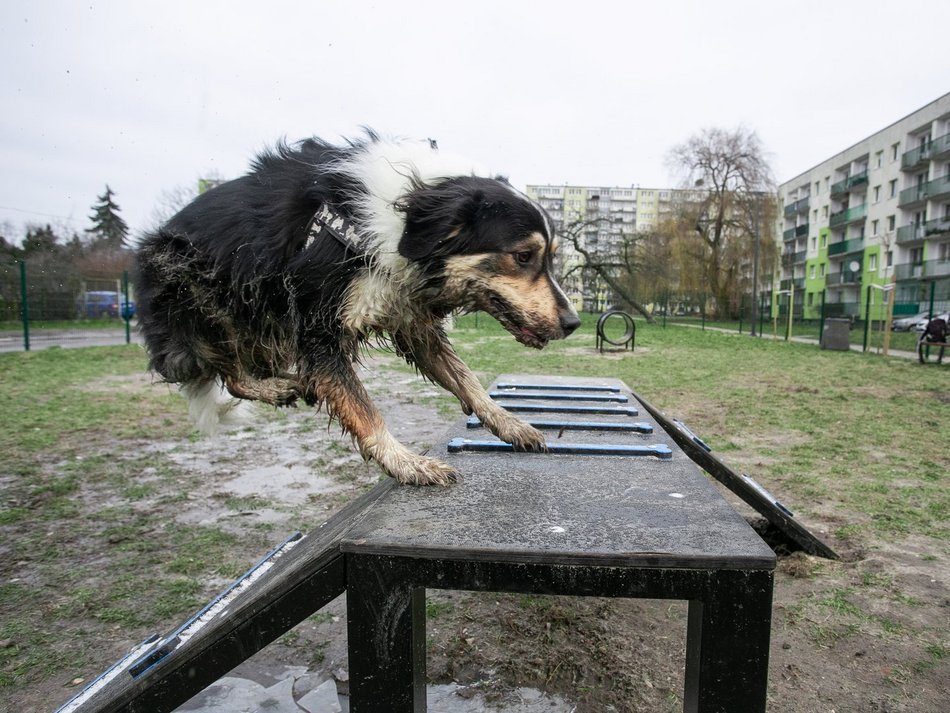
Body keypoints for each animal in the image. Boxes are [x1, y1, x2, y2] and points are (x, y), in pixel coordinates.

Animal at [136, 133, 580, 484]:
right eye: (523, 256)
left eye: (551, 257)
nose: (573, 322)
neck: (405, 217)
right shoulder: (318, 326)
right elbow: (361, 408)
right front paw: (406, 464)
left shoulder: (410, 315)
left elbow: (466, 378)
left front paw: (510, 424)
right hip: (208, 291)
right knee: (229, 374)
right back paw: (285, 385)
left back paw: (293, 383)